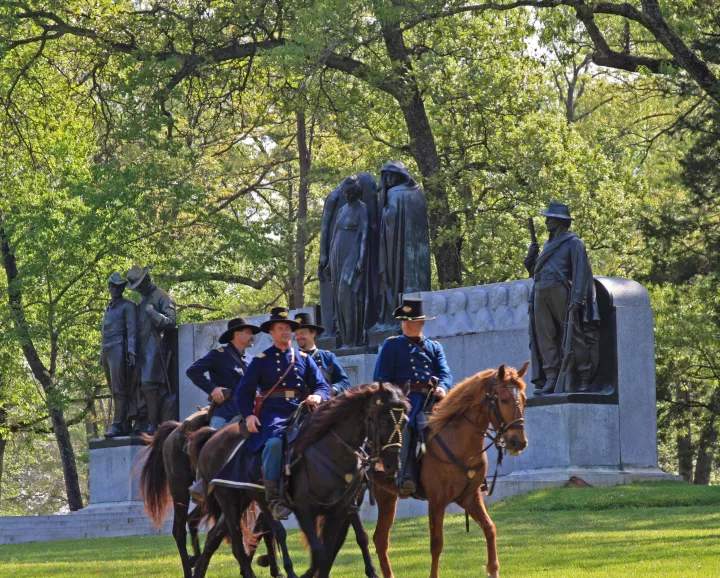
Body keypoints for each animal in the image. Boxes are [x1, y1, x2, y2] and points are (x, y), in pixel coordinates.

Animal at [194, 382, 410, 576]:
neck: (331, 451)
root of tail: (212, 437)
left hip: (245, 500)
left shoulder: (340, 511)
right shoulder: (305, 511)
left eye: (405, 421)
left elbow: (330, 553)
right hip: (228, 500)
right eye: (384, 421)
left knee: (219, 537)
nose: (392, 465)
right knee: (239, 546)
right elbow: (320, 554)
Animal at [368, 362, 532, 572]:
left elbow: (490, 528)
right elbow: (436, 545)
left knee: (380, 539)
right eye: (503, 400)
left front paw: (492, 569)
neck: (459, 443)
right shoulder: (437, 501)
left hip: (387, 495)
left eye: (524, 400)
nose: (518, 442)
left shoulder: (470, 497)